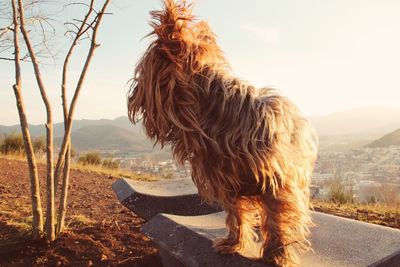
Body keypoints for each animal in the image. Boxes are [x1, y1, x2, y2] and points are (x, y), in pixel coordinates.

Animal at [126, 1, 318, 266]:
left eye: (143, 72)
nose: (131, 94)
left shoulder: (276, 181)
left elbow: (277, 217)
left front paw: (277, 254)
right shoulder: (226, 181)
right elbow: (236, 214)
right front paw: (234, 243)